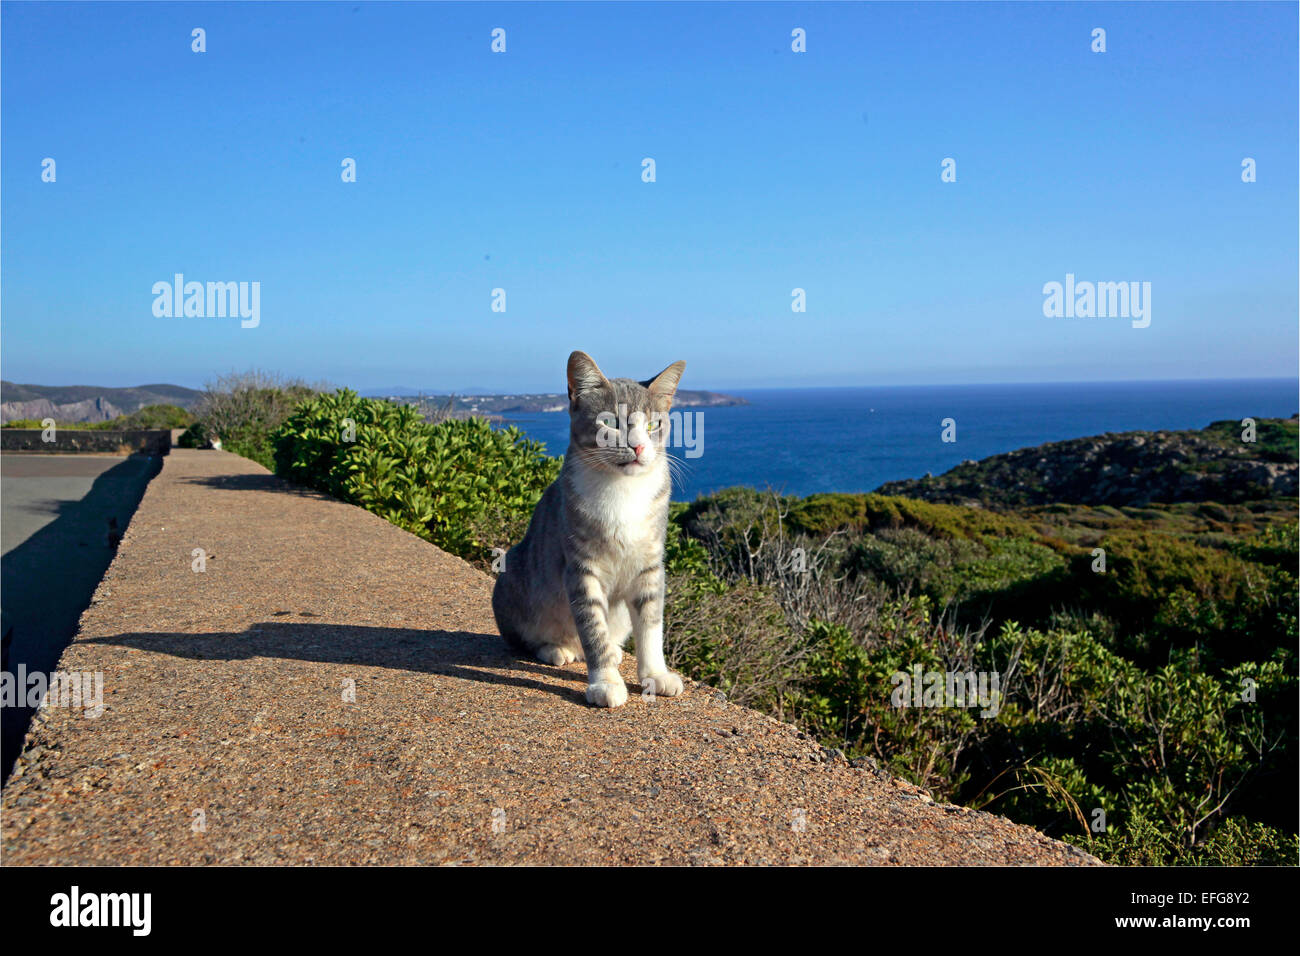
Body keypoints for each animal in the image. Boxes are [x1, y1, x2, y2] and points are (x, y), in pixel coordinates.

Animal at [488, 351, 691, 712]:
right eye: (610, 423)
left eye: (653, 425)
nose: (638, 447)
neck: (623, 490)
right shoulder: (582, 568)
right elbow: (593, 627)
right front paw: (606, 682)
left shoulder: (650, 565)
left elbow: (651, 623)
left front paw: (655, 674)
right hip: (512, 578)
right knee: (530, 639)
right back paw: (556, 649)